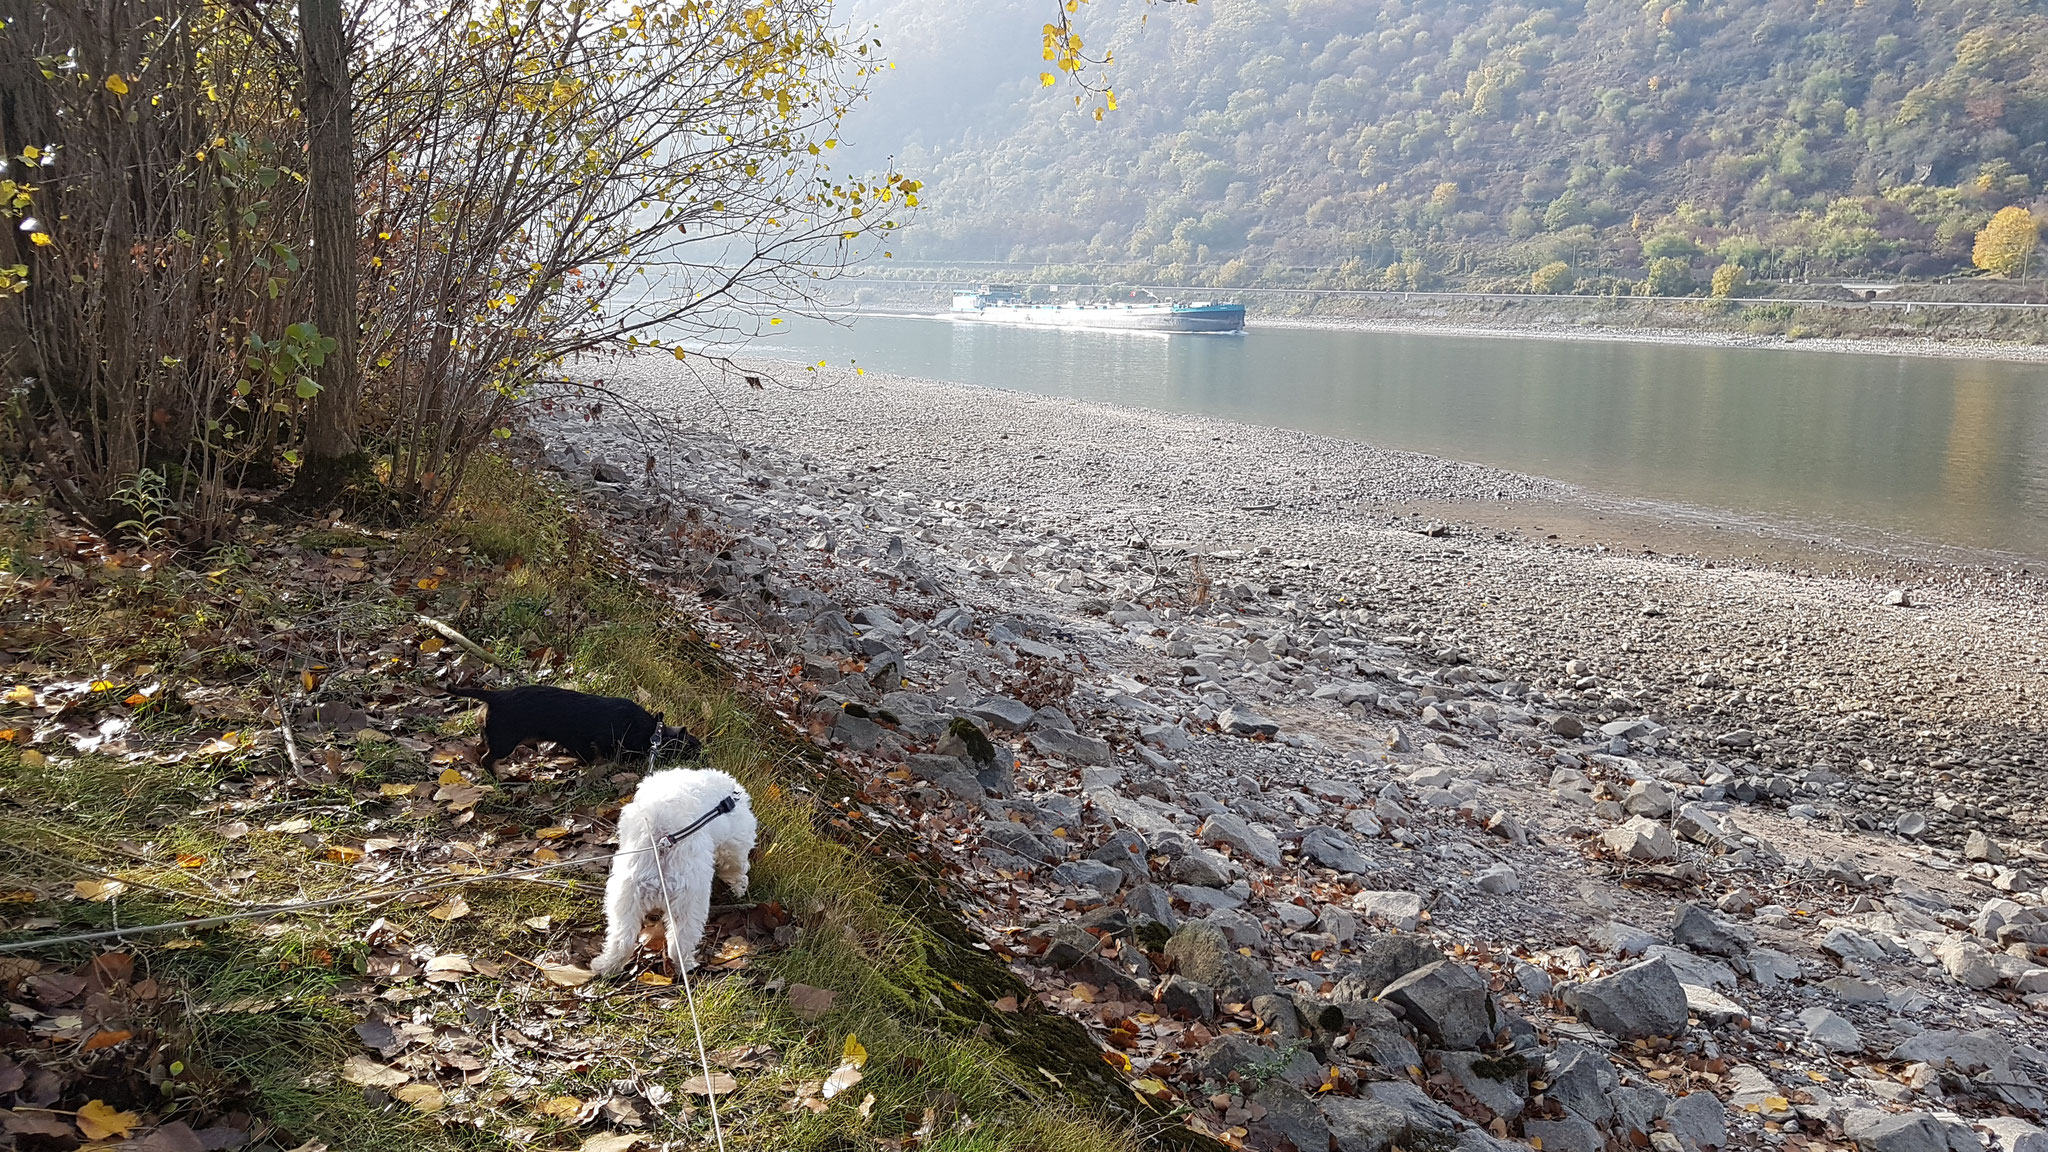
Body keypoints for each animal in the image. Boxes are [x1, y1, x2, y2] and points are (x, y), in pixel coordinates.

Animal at [444, 684, 700, 766]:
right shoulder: (600, 741)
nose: (703, 755)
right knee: (486, 759)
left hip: (491, 736)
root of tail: (496, 696)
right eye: (693, 747)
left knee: (479, 748)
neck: (652, 731)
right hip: (504, 743)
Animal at [589, 766, 757, 971]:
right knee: (679, 945)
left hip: (626, 899)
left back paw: (605, 966)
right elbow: (736, 868)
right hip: (690, 901)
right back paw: (688, 964)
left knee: (623, 939)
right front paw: (740, 887)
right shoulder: (734, 844)